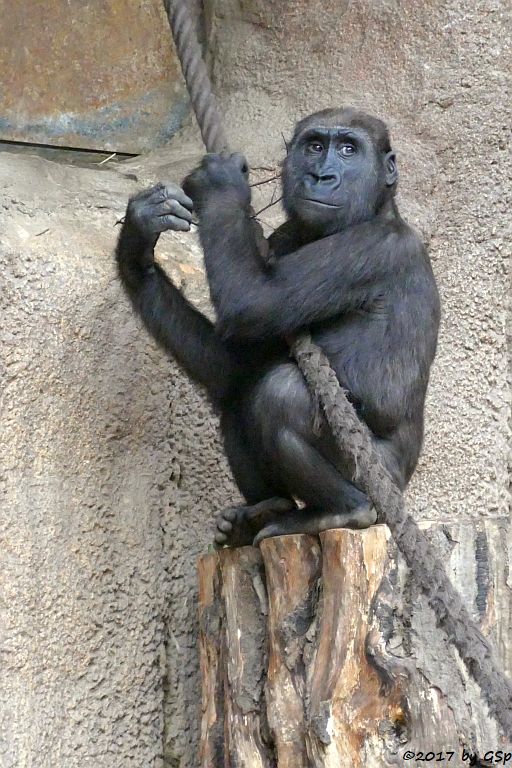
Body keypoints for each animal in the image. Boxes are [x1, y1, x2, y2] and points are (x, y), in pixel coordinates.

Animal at [116, 108, 440, 548]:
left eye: (349, 150)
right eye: (315, 146)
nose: (323, 175)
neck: (377, 209)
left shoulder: (372, 247)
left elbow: (252, 300)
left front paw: (220, 182)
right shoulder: (281, 237)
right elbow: (231, 366)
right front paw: (138, 240)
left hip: (381, 477)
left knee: (280, 394)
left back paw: (343, 509)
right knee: (240, 394)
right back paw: (267, 510)